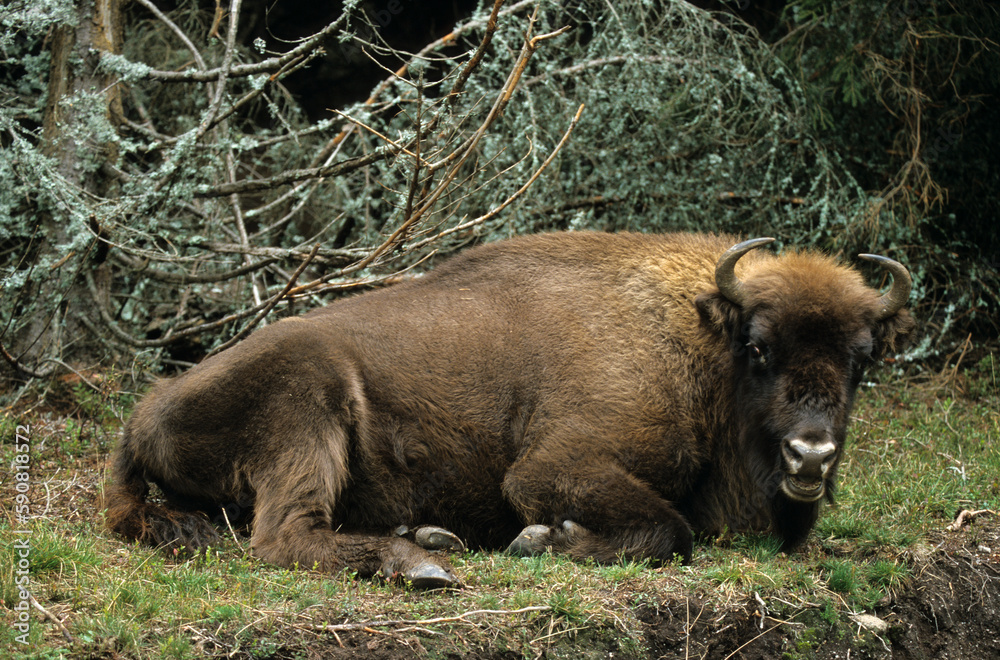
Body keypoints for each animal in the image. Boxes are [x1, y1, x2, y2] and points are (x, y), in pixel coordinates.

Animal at [106, 232, 914, 587]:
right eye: (758, 347)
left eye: (862, 358)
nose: (811, 455)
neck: (690, 337)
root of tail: (141, 417)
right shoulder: (551, 467)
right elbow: (671, 530)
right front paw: (543, 541)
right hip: (309, 400)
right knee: (281, 537)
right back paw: (420, 562)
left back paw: (427, 535)